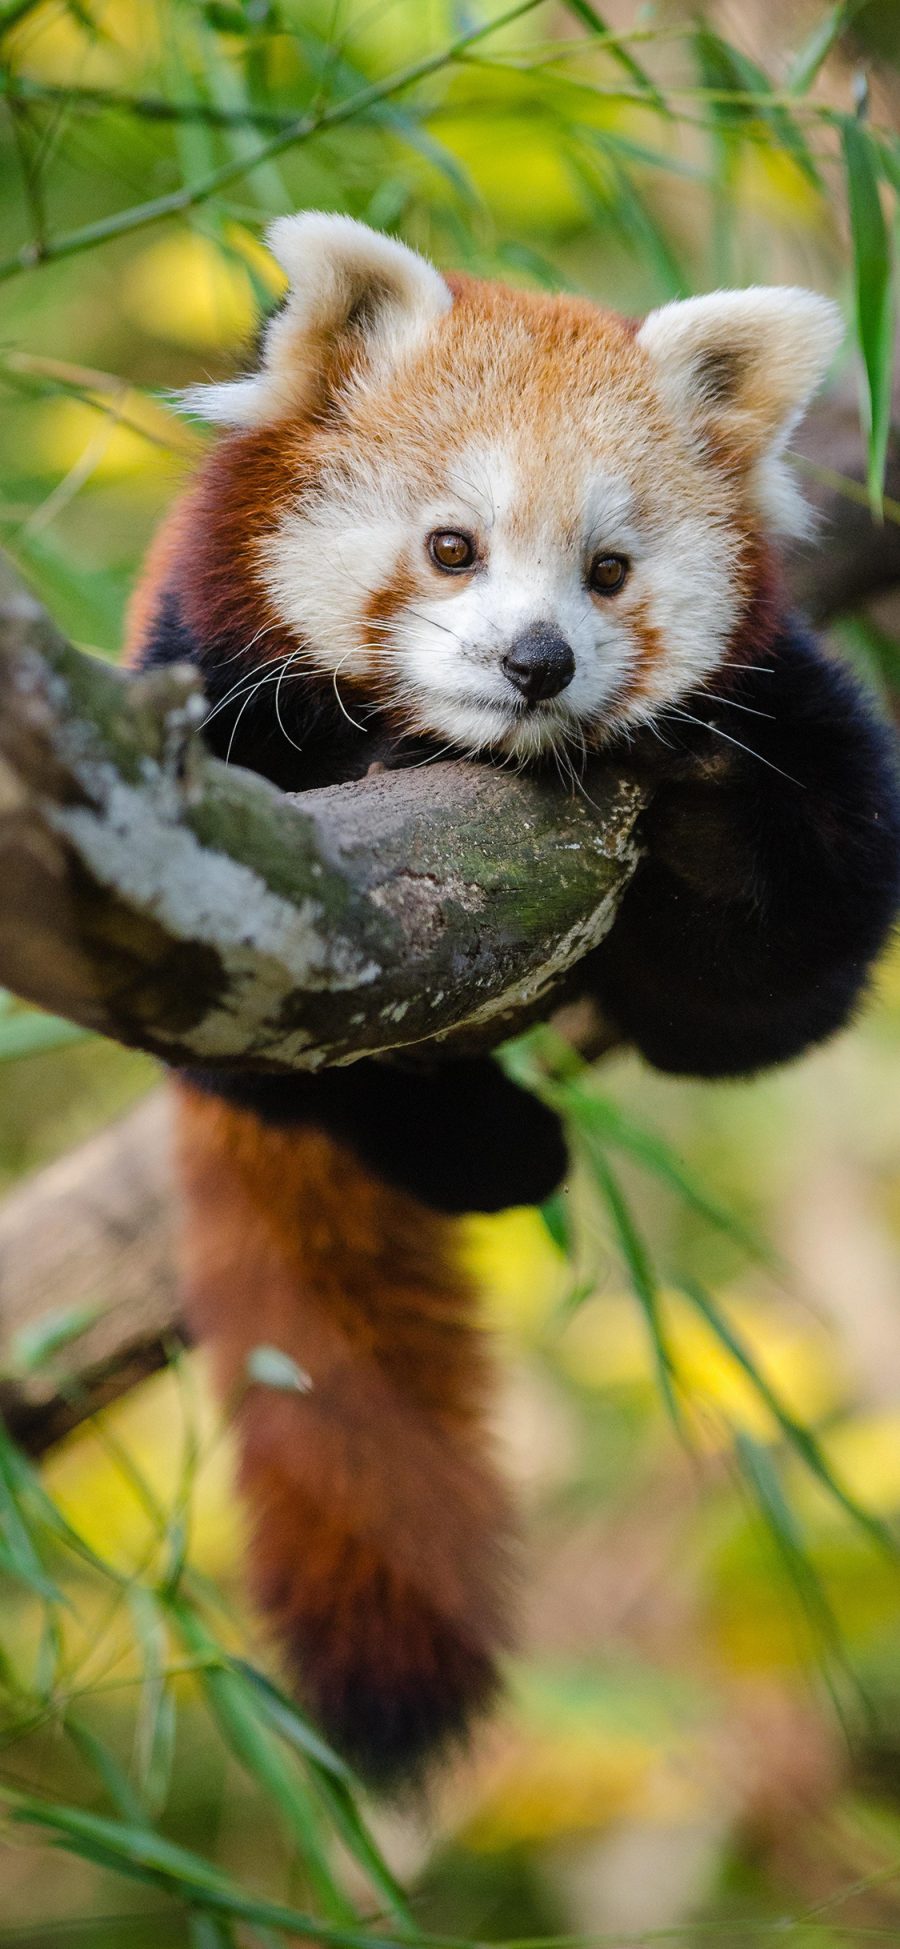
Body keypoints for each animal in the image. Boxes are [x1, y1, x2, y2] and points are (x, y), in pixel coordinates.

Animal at [128, 213, 900, 1785]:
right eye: (451, 547)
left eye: (609, 569)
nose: (536, 662)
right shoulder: (194, 707)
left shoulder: (802, 726)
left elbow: (770, 993)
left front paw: (703, 812)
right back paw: (491, 1147)